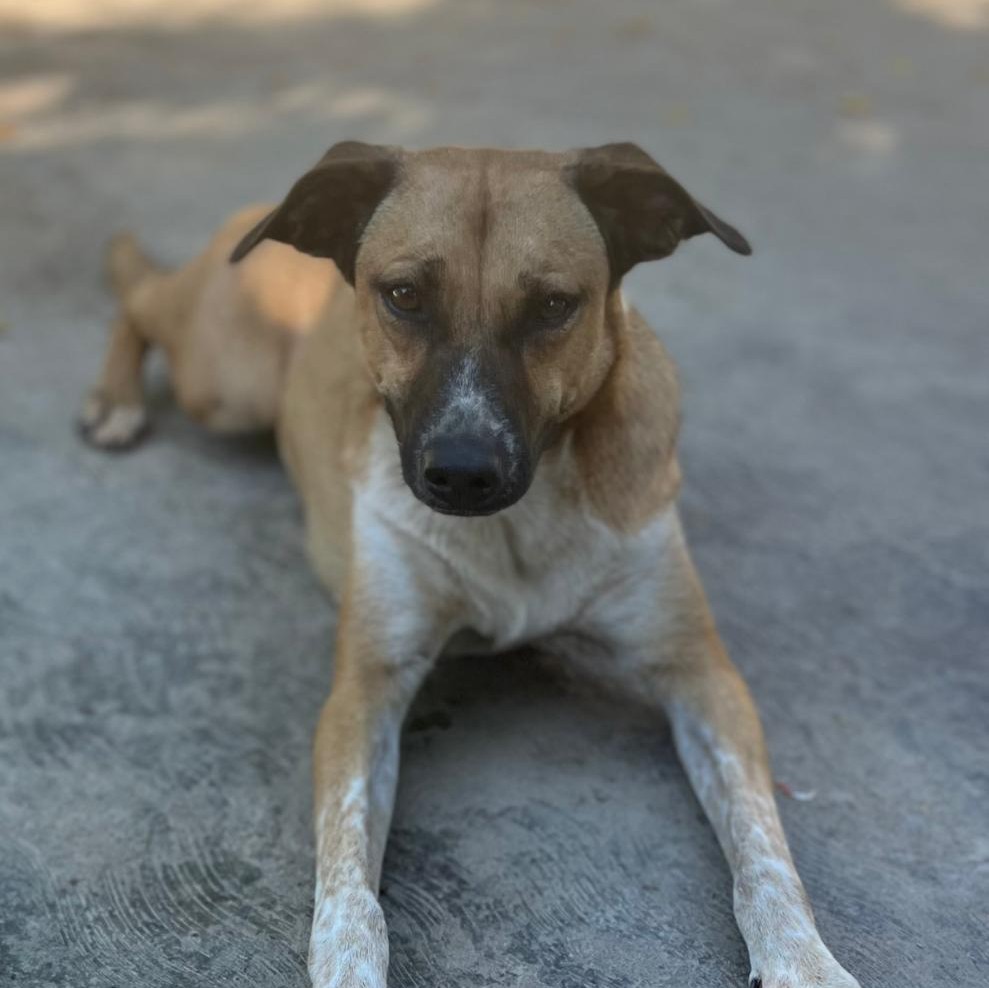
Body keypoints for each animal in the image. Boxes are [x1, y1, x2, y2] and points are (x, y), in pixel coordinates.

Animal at [80, 141, 860, 988]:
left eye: (553, 305)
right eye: (403, 295)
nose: (460, 472)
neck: (517, 526)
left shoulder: (700, 673)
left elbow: (764, 853)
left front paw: (805, 962)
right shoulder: (363, 692)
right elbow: (350, 893)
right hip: (227, 380)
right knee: (142, 301)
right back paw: (114, 398)